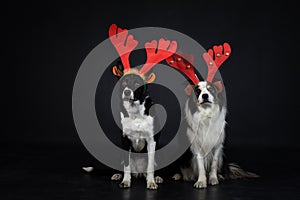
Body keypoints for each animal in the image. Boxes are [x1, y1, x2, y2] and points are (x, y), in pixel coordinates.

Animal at [108, 23, 177, 189]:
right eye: (124, 82)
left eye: (137, 84)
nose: (127, 92)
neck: (135, 113)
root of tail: (138, 173)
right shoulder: (124, 140)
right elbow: (126, 165)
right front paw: (125, 181)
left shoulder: (152, 141)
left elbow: (151, 165)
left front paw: (151, 182)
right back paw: (117, 175)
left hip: (161, 152)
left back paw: (157, 177)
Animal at [166, 43, 258, 188]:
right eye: (197, 91)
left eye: (211, 90)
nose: (204, 95)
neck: (206, 114)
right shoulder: (196, 145)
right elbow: (201, 165)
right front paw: (201, 181)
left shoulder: (217, 145)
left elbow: (214, 164)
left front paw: (213, 178)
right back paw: (178, 175)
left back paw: (220, 175)